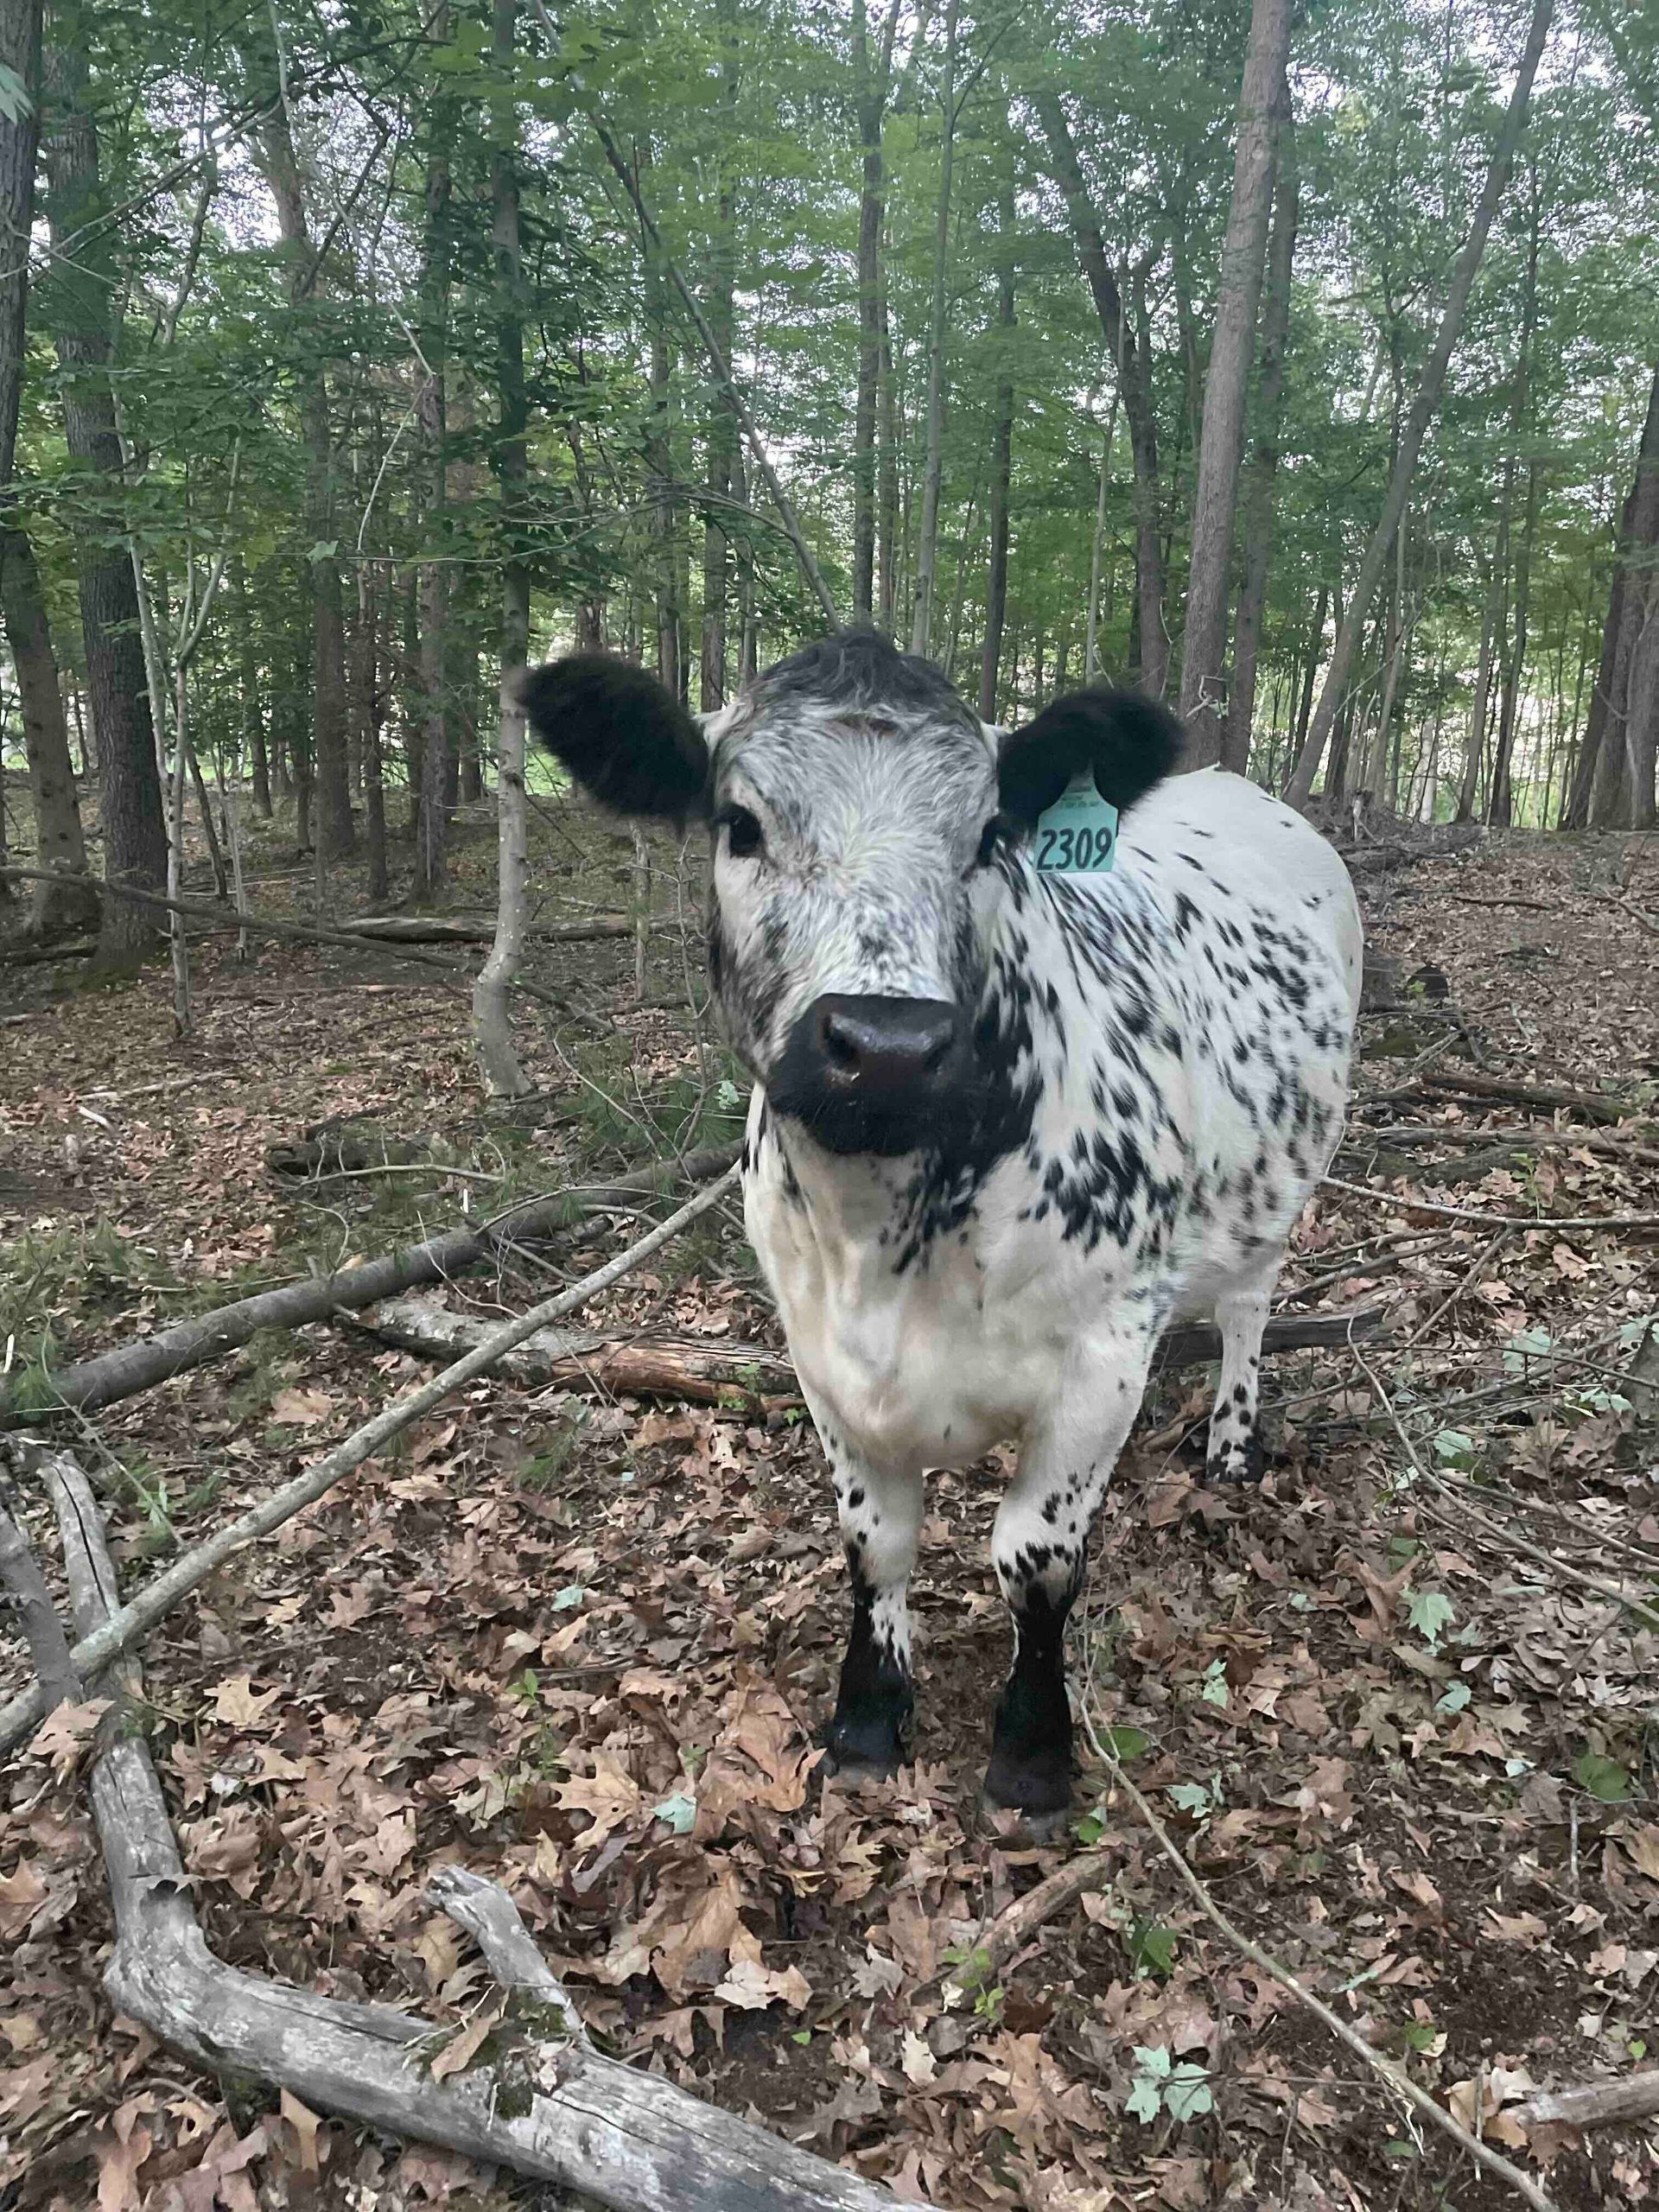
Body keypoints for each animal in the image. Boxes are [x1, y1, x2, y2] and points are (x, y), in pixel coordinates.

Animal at [521, 630, 1363, 1820]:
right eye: (741, 823)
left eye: (989, 836)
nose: (885, 1045)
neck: (885, 1236)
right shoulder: (818, 1357)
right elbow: (878, 1543)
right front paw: (869, 1716)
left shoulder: (1101, 1354)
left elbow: (1036, 1557)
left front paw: (1032, 1753)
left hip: (1281, 1182)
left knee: (1249, 1302)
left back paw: (1233, 1440)